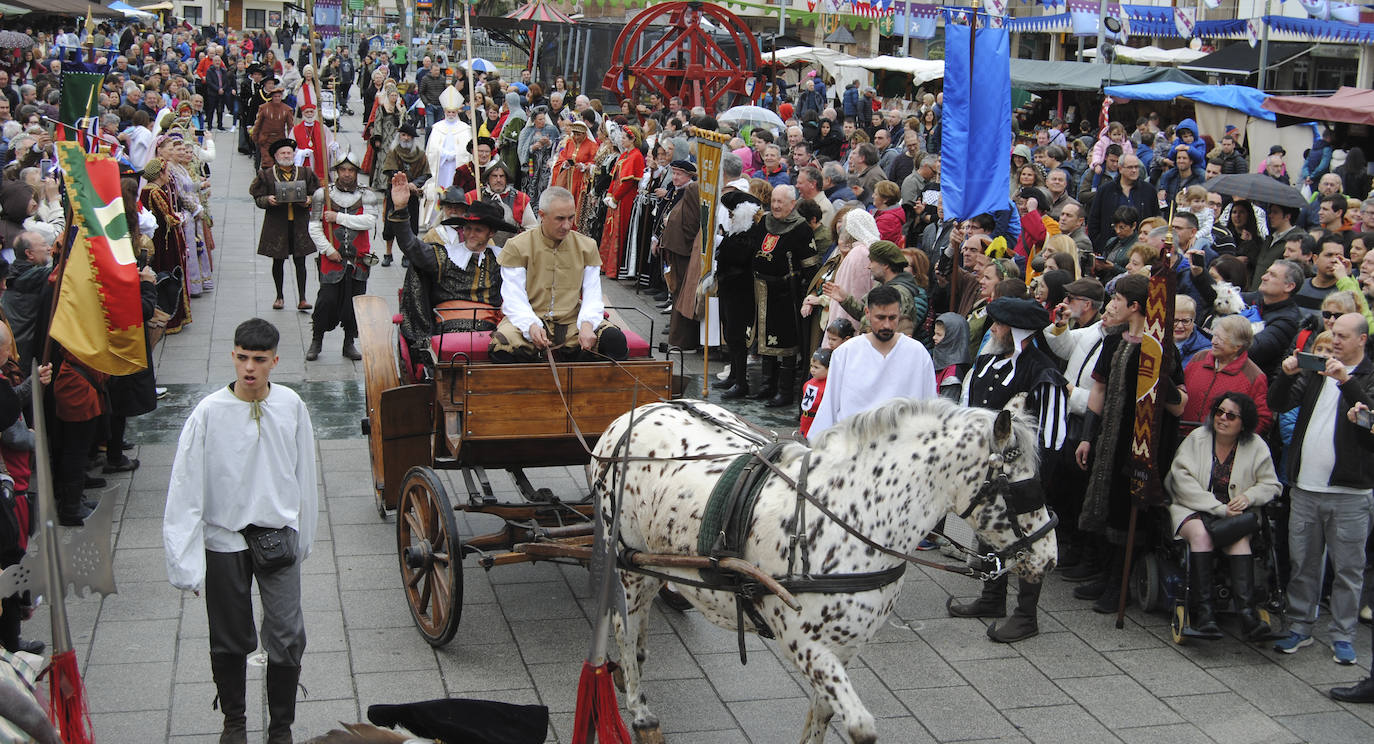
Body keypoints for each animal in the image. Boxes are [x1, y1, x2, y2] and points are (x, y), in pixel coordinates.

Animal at [585, 396, 1055, 737]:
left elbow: (823, 716)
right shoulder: (805, 643)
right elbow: (862, 727)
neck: (848, 514)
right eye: (1022, 488)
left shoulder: (845, 649)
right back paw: (638, 705)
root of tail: (623, 421)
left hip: (651, 562)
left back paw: (633, 668)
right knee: (624, 622)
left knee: (641, 616)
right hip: (626, 559)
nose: (1050, 557)